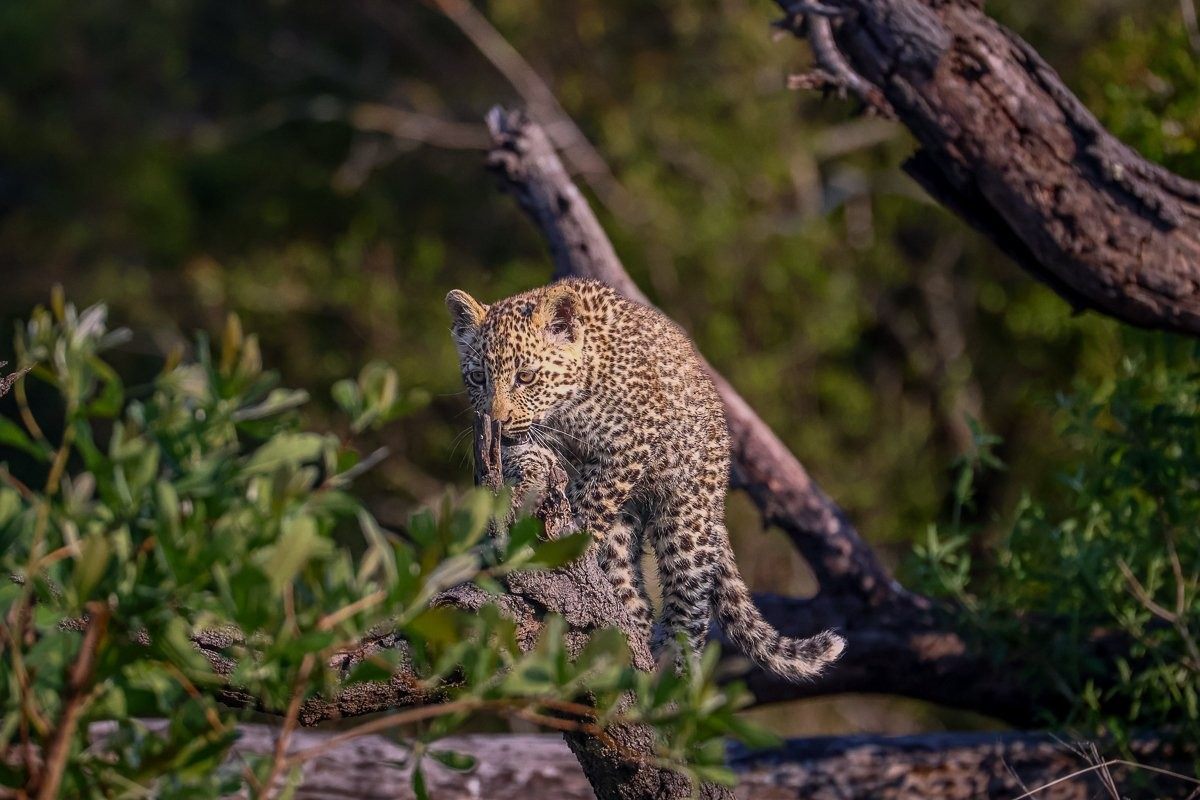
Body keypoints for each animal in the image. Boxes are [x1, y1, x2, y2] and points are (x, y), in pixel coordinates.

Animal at [446, 278, 845, 681]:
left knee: (689, 611)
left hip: (686, 521)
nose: (497, 420)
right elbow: (526, 454)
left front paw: (572, 525)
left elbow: (592, 496)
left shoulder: (631, 443)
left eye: (526, 377)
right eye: (478, 378)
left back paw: (673, 676)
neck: (567, 408)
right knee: (629, 588)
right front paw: (530, 469)